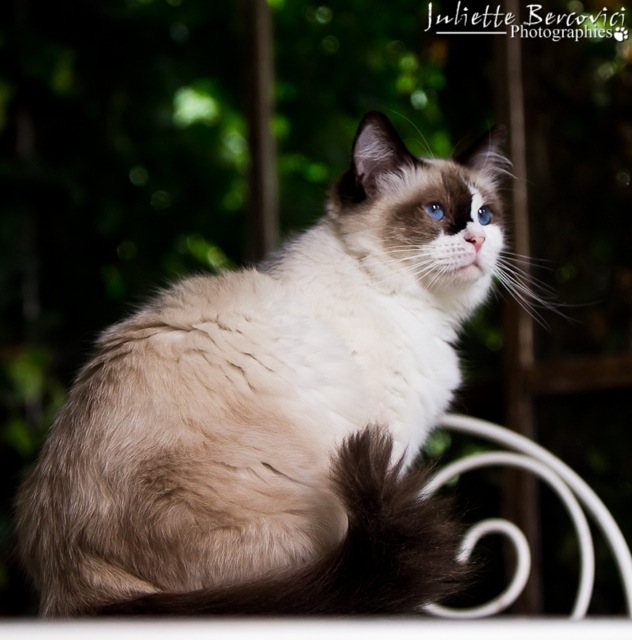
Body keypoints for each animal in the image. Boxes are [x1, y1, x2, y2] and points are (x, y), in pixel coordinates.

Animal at [14, 112, 508, 616]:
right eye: (434, 211)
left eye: (485, 215)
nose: (477, 239)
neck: (418, 308)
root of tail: (73, 591)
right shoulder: (390, 440)